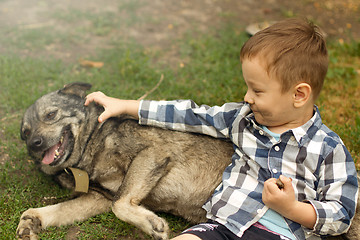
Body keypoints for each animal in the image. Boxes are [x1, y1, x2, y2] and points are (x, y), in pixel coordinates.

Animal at [17, 83, 233, 240]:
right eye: (25, 133)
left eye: (51, 115)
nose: (34, 143)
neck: (91, 143)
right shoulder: (99, 198)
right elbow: (62, 209)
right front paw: (33, 219)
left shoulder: (153, 151)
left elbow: (119, 204)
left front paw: (151, 224)